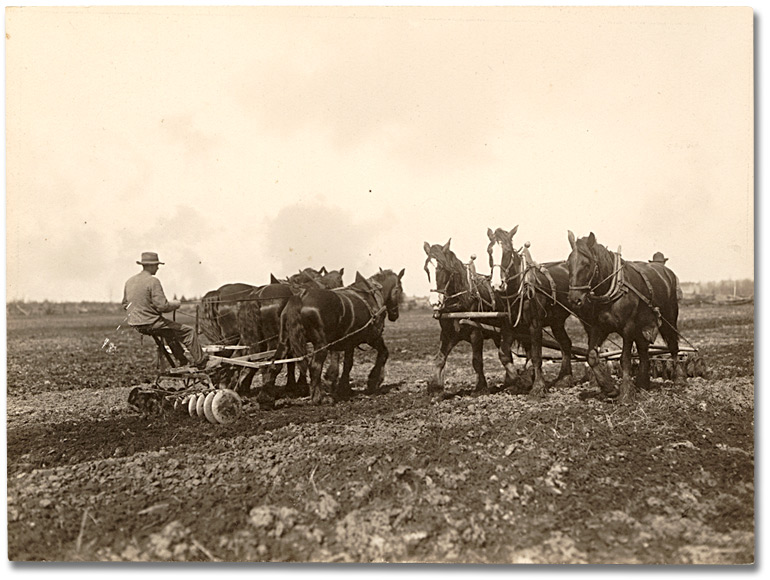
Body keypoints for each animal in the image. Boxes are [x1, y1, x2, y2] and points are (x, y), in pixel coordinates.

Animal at [264, 268, 404, 408]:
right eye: (399, 289)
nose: (395, 315)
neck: (370, 295)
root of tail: (301, 296)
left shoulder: (350, 341)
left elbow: (348, 363)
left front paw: (344, 388)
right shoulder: (373, 337)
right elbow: (384, 353)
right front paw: (373, 381)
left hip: (285, 341)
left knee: (275, 364)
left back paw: (265, 399)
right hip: (320, 344)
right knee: (314, 366)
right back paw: (319, 398)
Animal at [420, 239, 504, 394]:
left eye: (442, 268)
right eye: (426, 269)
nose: (434, 302)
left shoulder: (476, 334)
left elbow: (477, 361)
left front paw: (481, 387)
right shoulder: (448, 334)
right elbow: (440, 358)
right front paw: (435, 387)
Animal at [486, 227, 576, 398]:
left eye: (508, 251)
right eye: (489, 251)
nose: (497, 285)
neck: (521, 288)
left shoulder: (535, 324)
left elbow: (535, 356)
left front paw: (538, 386)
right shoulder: (509, 326)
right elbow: (503, 354)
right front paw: (518, 381)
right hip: (557, 321)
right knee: (566, 344)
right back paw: (565, 378)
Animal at [564, 231, 684, 404]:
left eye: (586, 264)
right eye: (568, 264)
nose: (574, 299)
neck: (612, 291)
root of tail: (665, 270)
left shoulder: (628, 328)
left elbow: (625, 359)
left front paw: (626, 393)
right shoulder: (598, 328)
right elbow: (591, 356)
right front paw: (610, 389)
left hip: (669, 317)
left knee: (673, 345)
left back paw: (678, 378)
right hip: (643, 325)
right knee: (643, 350)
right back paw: (642, 383)